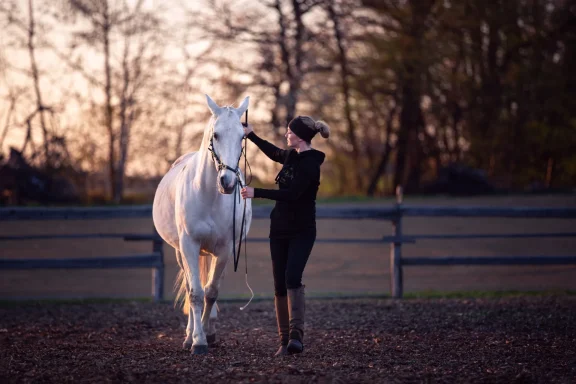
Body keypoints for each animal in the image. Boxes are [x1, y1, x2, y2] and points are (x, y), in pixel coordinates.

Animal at [153, 94, 252, 354]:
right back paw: (189, 334)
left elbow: (212, 292)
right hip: (181, 251)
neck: (208, 194)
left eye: (242, 136)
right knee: (190, 287)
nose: (228, 182)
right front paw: (197, 340)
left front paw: (208, 333)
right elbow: (196, 293)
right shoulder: (189, 245)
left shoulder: (226, 249)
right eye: (215, 135)